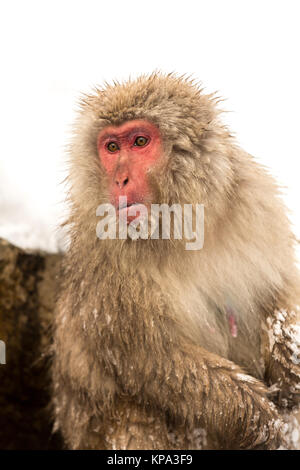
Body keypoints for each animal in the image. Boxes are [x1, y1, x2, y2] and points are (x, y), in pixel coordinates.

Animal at [52, 72, 300, 448]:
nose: (119, 179)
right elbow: (151, 359)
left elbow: (280, 291)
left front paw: (291, 371)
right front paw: (264, 423)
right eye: (112, 148)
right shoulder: (106, 261)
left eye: (140, 141)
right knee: (133, 418)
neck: (178, 231)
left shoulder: (255, 204)